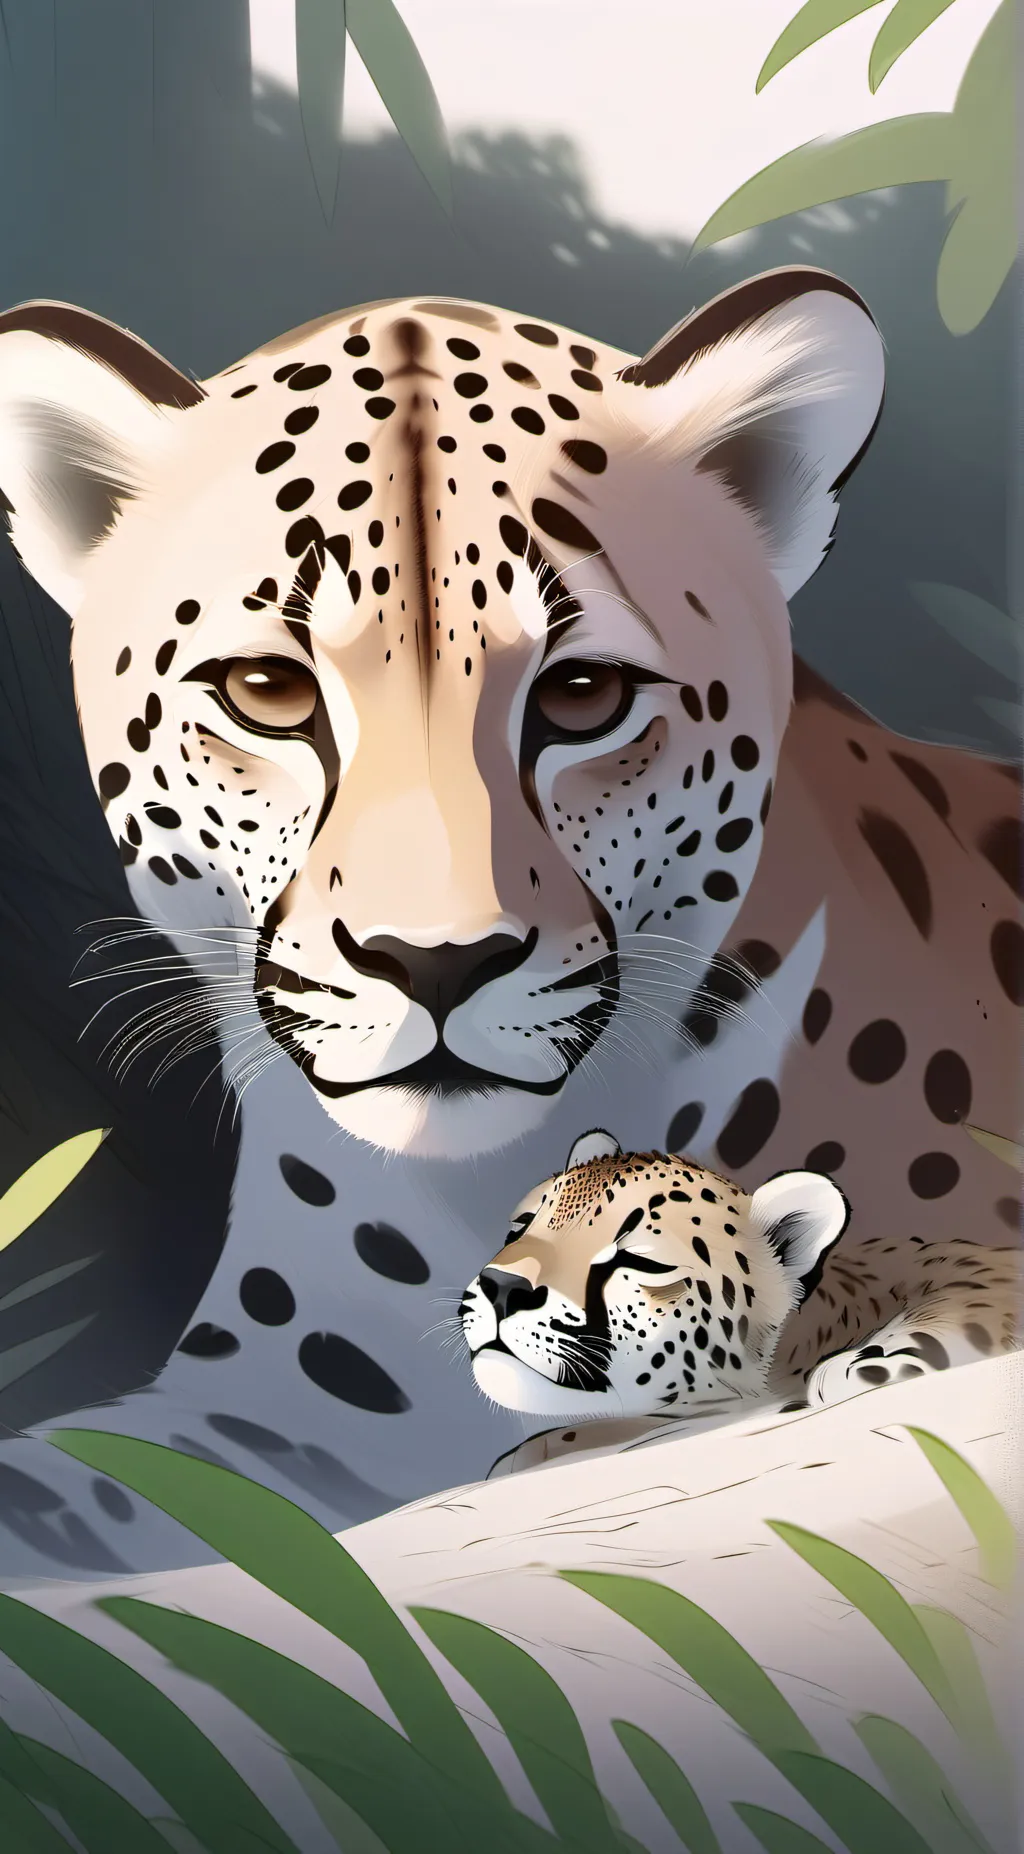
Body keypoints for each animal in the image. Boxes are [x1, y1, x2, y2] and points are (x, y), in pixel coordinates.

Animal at [461, 1128, 1021, 1473]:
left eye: (641, 1263)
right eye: (521, 1228)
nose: (503, 1287)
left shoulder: (969, 1269)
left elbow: (965, 1303)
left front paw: (870, 1362)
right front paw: (530, 1452)